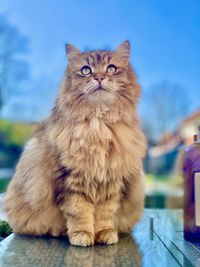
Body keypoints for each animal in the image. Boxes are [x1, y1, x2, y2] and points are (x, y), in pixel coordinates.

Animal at [3, 40, 147, 248]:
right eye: (86, 70)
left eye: (111, 68)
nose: (99, 77)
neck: (98, 124)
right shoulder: (71, 181)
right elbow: (79, 212)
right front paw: (82, 235)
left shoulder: (110, 182)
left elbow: (105, 215)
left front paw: (104, 234)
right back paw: (59, 232)